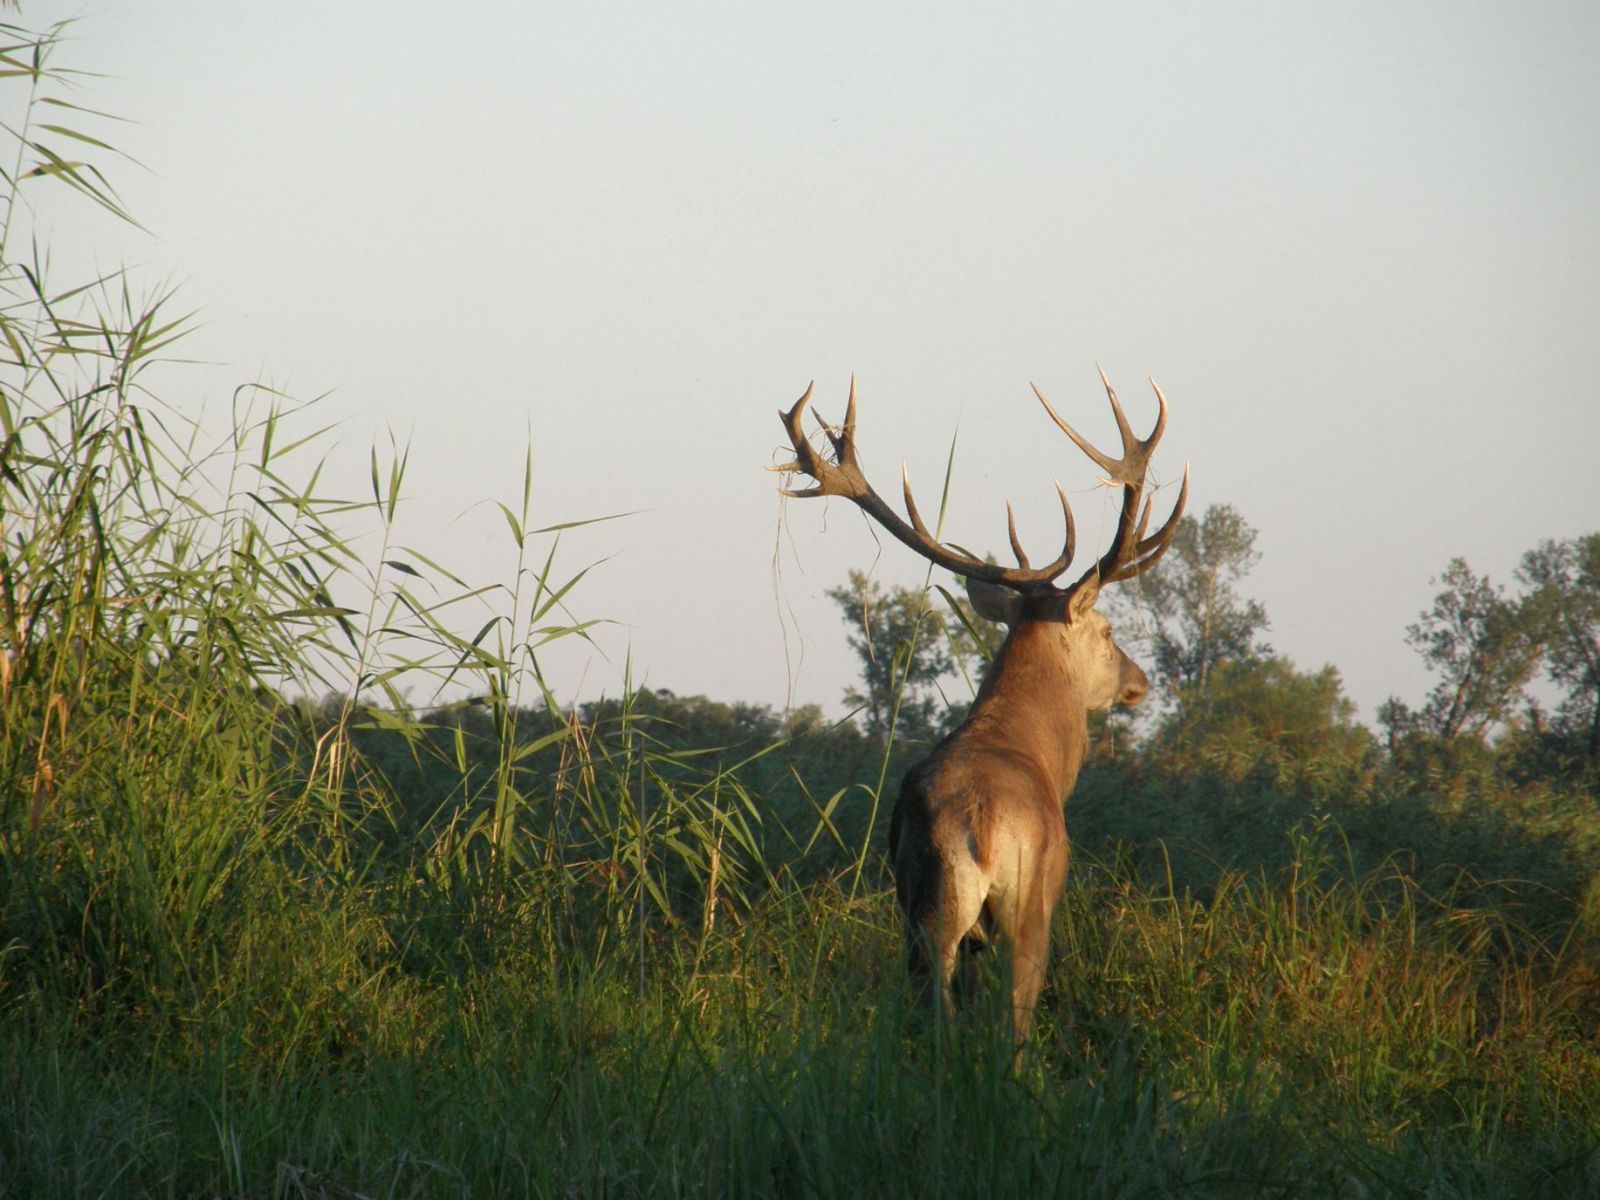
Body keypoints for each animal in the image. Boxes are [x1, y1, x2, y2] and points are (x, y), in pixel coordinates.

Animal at [774, 369, 1190, 1043]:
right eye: (1106, 630)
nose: (1139, 680)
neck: (1039, 752)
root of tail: (981, 823)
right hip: (1026, 909)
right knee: (1013, 1020)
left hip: (923, 909)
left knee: (935, 1007)